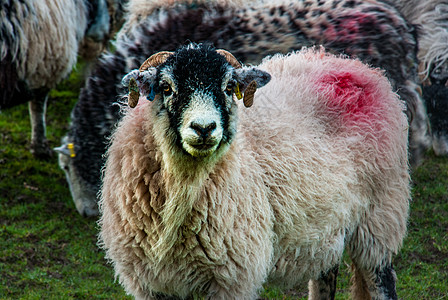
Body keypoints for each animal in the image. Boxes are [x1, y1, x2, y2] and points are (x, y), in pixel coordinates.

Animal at [99, 43, 412, 300]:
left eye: (228, 87)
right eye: (166, 87)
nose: (204, 128)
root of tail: (359, 67)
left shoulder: (232, 277)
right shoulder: (153, 284)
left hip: (380, 216)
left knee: (382, 279)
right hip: (328, 225)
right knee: (326, 275)